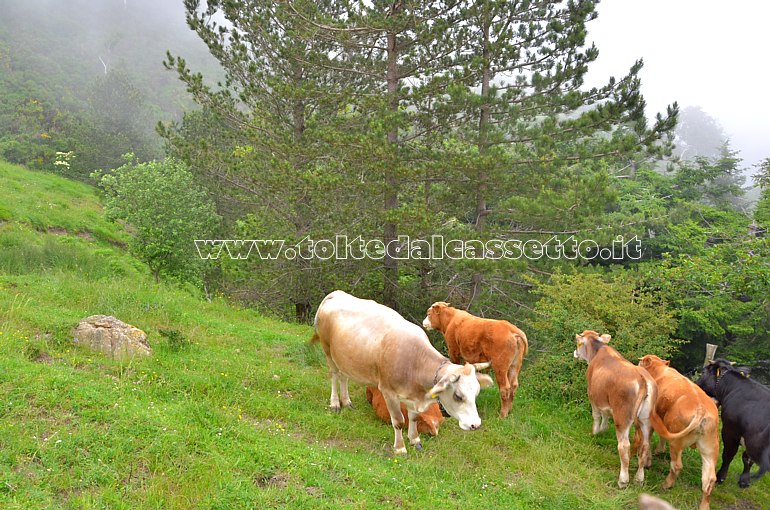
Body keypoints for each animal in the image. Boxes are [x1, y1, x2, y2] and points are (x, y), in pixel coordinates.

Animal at [310, 290, 492, 454]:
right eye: (458, 396)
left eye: (476, 393)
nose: (476, 425)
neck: (415, 362)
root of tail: (336, 293)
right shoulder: (388, 393)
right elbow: (398, 421)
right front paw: (400, 448)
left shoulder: (413, 395)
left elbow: (413, 417)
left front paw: (415, 440)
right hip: (328, 350)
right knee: (334, 375)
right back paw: (335, 403)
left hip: (345, 356)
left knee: (344, 377)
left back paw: (346, 401)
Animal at [568, 332, 656, 488]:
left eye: (578, 343)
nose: (575, 353)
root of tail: (642, 378)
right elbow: (605, 415)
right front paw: (603, 430)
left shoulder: (593, 397)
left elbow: (597, 416)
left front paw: (595, 432)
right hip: (646, 421)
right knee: (645, 446)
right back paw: (639, 479)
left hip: (622, 418)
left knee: (624, 446)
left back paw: (623, 480)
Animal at [632, 354, 716, 510]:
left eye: (641, 361)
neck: (659, 370)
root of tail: (701, 409)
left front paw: (647, 460)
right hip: (710, 449)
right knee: (709, 479)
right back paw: (704, 505)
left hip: (677, 442)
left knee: (676, 465)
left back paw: (666, 484)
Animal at [696, 356, 768, 488]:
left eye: (703, 372)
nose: (695, 385)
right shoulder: (751, 438)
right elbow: (747, 458)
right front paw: (744, 481)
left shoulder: (730, 431)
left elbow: (728, 455)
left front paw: (720, 477)